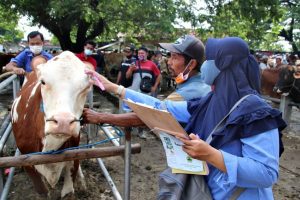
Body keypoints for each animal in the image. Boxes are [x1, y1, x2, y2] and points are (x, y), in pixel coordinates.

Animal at [10, 50, 92, 198]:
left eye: (87, 87)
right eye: (43, 82)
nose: (63, 122)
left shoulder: (73, 158)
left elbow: (68, 191)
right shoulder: (28, 163)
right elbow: (43, 192)